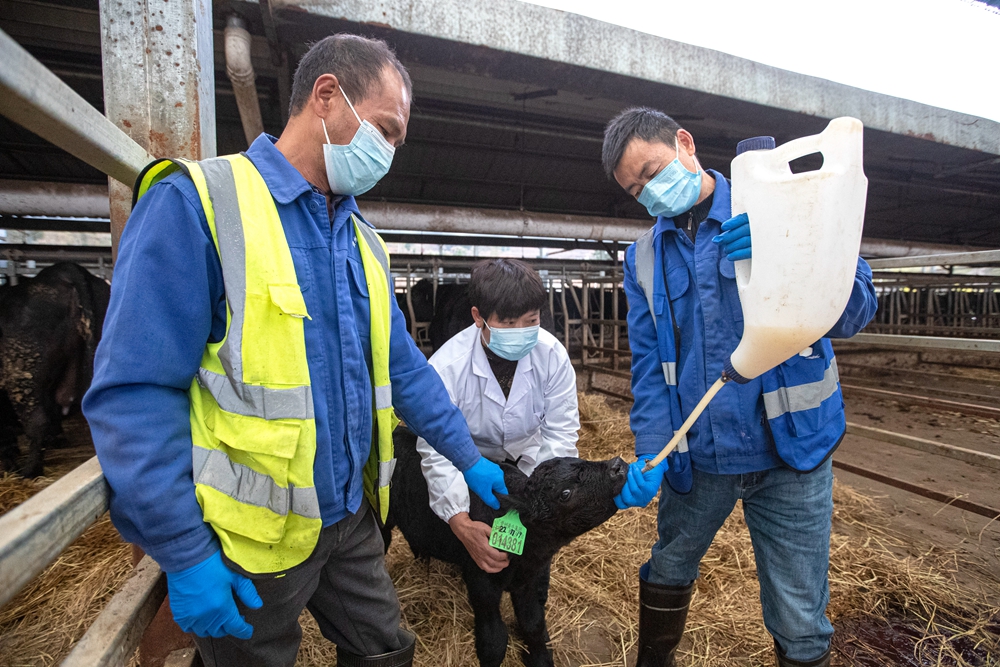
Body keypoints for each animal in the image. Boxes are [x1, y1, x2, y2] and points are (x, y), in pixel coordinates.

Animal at [384, 428, 624, 667]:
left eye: (581, 460)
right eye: (565, 493)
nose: (617, 465)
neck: (526, 557)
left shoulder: (529, 581)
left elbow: (533, 624)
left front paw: (541, 659)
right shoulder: (482, 580)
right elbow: (494, 640)